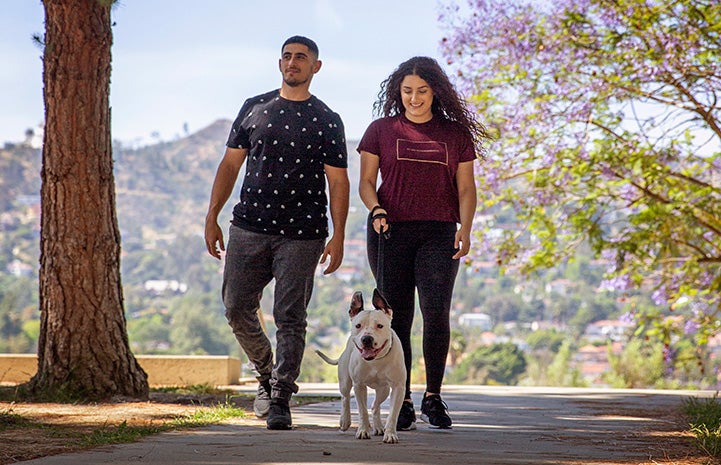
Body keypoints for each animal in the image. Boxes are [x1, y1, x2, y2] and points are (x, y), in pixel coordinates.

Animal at [316, 288, 404, 444]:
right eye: (358, 326)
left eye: (380, 326)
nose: (367, 339)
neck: (376, 360)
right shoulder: (359, 386)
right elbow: (362, 410)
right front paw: (363, 430)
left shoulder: (398, 387)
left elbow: (393, 414)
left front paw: (390, 434)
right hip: (345, 382)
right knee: (345, 397)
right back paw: (345, 421)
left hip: (384, 390)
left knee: (375, 406)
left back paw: (379, 427)